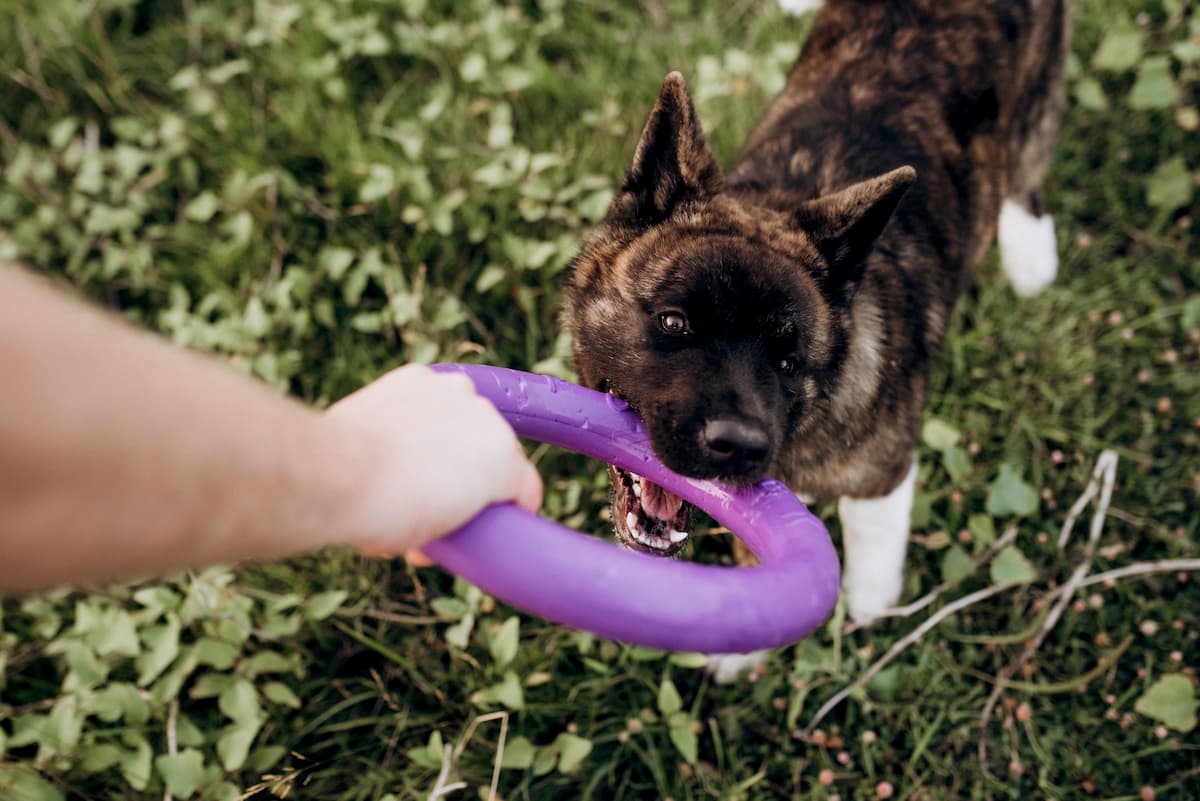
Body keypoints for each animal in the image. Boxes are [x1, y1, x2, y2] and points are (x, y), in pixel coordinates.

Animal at [556, 0, 1065, 671]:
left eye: (790, 361)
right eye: (673, 323)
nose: (739, 445)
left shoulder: (881, 475)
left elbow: (871, 555)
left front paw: (868, 611)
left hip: (1037, 100)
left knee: (1028, 168)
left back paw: (1030, 255)